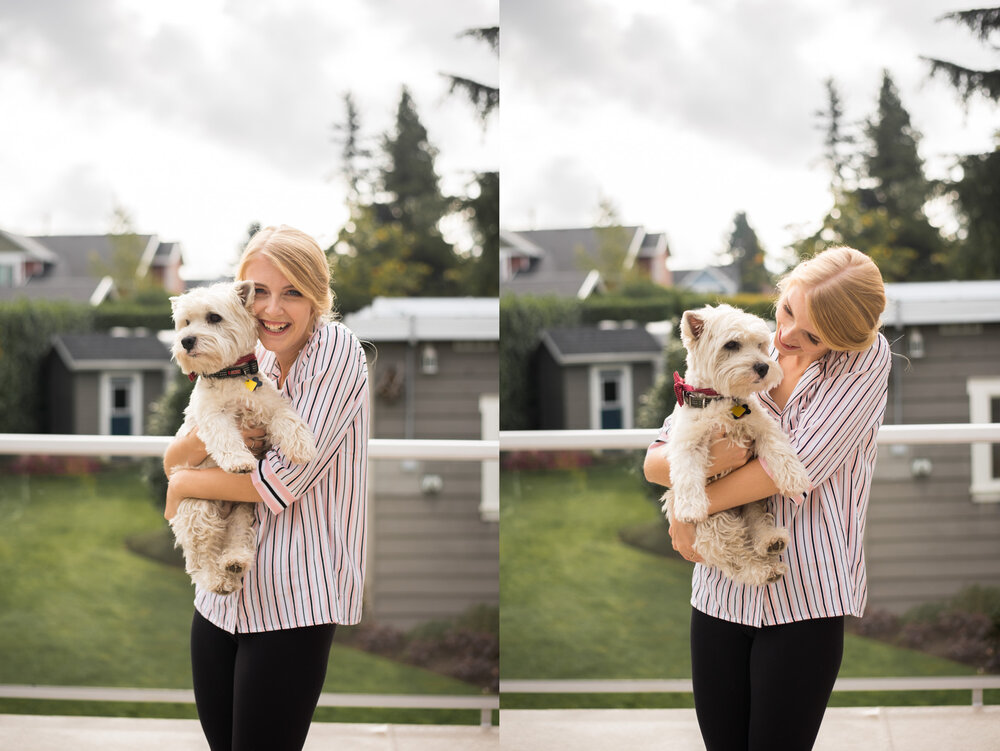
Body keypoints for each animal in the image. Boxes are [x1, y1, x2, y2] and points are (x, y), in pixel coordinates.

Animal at [167, 280, 316, 596]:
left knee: (237, 536)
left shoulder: (270, 406)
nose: (186, 341)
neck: (230, 374)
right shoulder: (212, 417)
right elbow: (225, 436)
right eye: (185, 323)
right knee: (201, 557)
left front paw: (302, 446)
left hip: (243, 509)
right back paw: (218, 578)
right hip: (198, 507)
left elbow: (288, 419)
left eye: (214, 317)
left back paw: (235, 562)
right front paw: (239, 462)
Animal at [664, 306, 812, 588]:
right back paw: (765, 570)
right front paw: (690, 509)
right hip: (718, 523)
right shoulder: (688, 443)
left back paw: (771, 541)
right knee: (737, 558)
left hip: (752, 502)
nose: (763, 366)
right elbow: (688, 474)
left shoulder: (762, 427)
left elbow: (780, 449)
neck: (720, 399)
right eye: (731, 344)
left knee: (756, 525)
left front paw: (796, 479)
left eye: (760, 345)